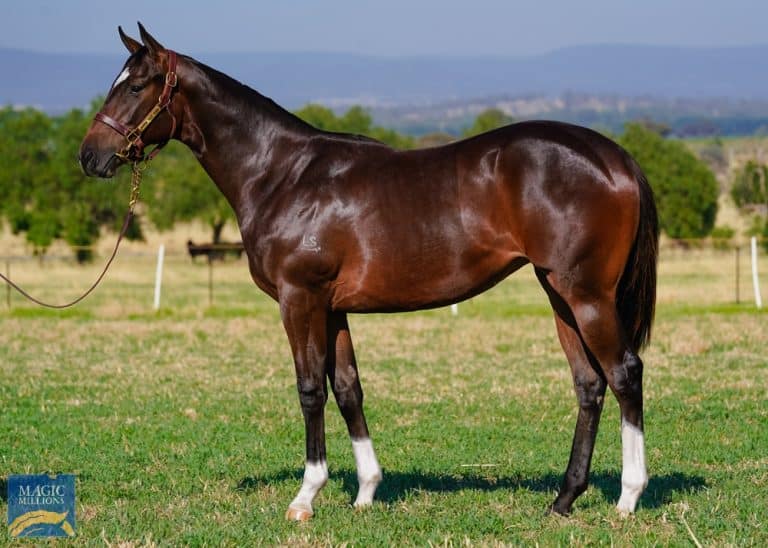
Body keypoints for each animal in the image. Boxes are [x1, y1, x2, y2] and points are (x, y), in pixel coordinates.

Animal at [80, 24, 658, 521]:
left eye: (136, 85)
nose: (90, 157)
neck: (281, 174)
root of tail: (616, 158)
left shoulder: (300, 299)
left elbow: (310, 389)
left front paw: (305, 496)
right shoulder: (333, 308)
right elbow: (347, 388)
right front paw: (365, 490)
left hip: (585, 295)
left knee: (624, 373)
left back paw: (628, 497)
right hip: (558, 293)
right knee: (589, 384)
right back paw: (563, 499)